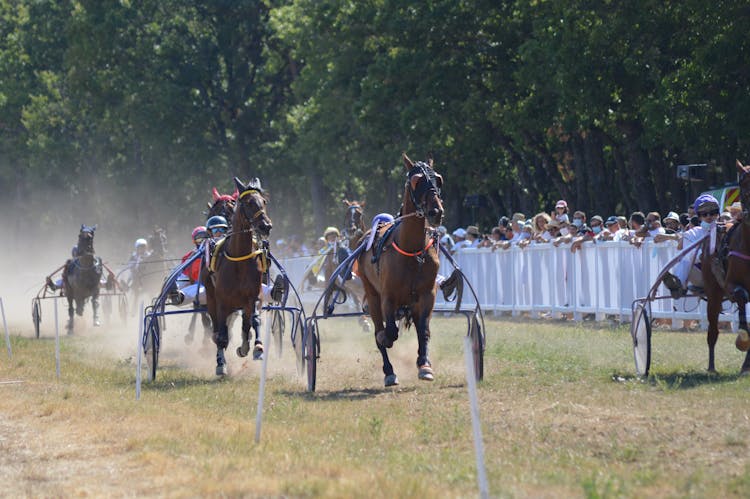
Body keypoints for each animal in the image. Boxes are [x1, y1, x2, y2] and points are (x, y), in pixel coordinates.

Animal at [204, 176, 274, 376]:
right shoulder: (221, 301)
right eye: (248, 202)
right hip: (211, 298)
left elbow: (254, 321)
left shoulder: (254, 296)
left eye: (263, 201)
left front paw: (257, 347)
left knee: (244, 324)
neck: (238, 259)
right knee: (218, 329)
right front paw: (221, 364)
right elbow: (221, 334)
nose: (266, 226)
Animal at [356, 154, 444, 388]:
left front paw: (424, 365)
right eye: (415, 181)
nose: (436, 212)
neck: (412, 251)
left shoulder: (427, 294)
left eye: (438, 179)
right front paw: (384, 339)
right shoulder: (388, 297)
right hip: (372, 294)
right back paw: (389, 371)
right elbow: (388, 333)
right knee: (380, 329)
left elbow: (423, 330)